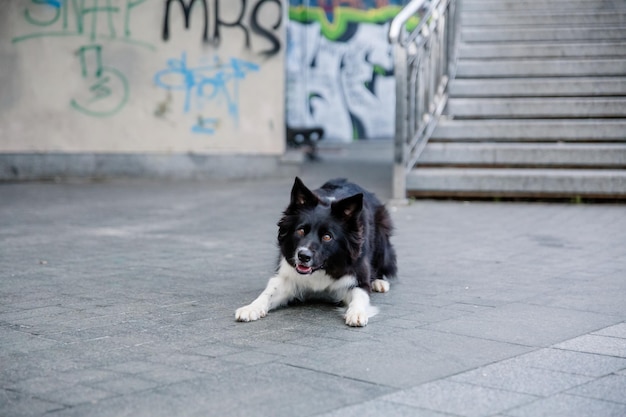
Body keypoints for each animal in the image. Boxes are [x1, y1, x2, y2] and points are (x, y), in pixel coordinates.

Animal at [234, 176, 394, 324]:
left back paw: (379, 282)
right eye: (301, 231)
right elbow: (268, 293)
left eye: (327, 237)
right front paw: (251, 308)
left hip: (381, 238)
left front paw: (357, 313)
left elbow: (360, 295)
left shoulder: (358, 278)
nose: (303, 256)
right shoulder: (287, 276)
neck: (324, 268)